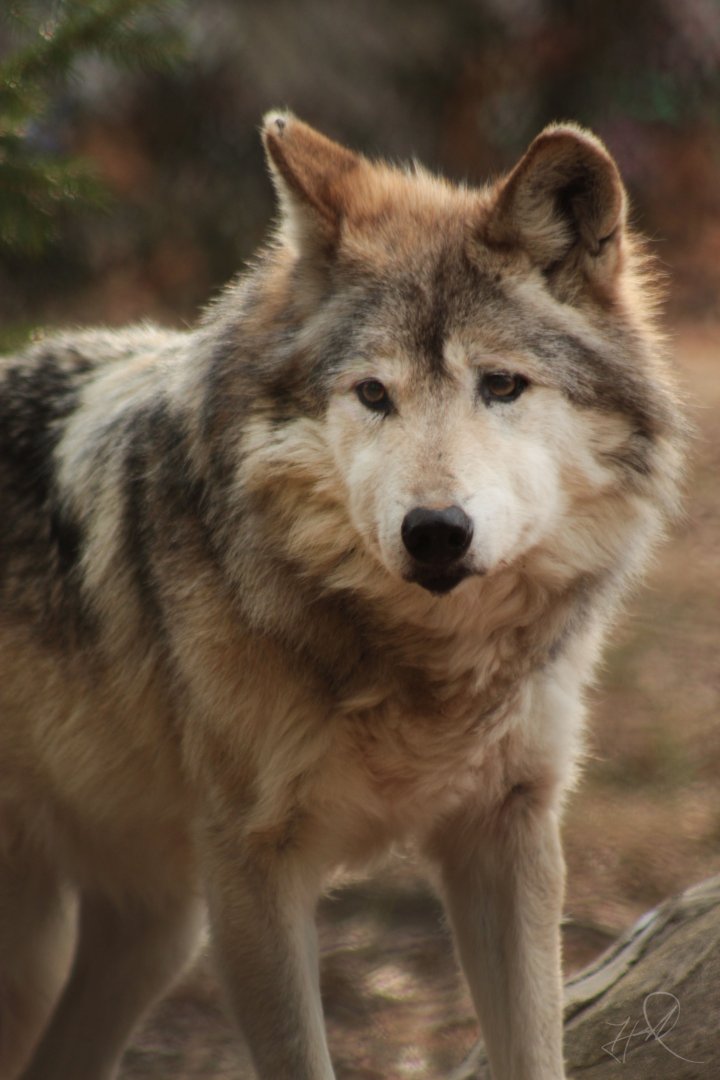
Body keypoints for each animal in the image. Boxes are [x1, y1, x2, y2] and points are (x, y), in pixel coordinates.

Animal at [0, 111, 684, 1080]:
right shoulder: (253, 870)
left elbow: (533, 1047)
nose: (434, 530)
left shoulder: (509, 835)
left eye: (502, 384)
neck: (427, 672)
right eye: (373, 393)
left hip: (153, 934)